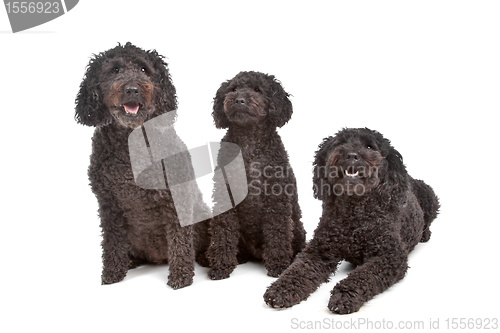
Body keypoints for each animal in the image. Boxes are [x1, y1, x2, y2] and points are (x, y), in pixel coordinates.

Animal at [74, 42, 209, 288]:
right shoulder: (108, 205)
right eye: (115, 70)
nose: (132, 89)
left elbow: (180, 240)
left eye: (144, 69)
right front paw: (112, 273)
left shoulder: (176, 199)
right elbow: (112, 243)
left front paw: (181, 276)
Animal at [206, 71, 306, 278]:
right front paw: (220, 266)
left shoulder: (276, 200)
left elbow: (277, 233)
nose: (239, 100)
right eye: (233, 89)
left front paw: (278, 265)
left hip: (297, 227)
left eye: (258, 89)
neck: (249, 144)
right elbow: (223, 231)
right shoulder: (225, 194)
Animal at [264, 127, 440, 314]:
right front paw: (281, 289)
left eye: (370, 146)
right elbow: (298, 270)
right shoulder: (318, 250)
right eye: (341, 143)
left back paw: (424, 234)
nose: (351, 155)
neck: (354, 214)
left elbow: (364, 276)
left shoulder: (390, 256)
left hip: (430, 195)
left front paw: (344, 296)